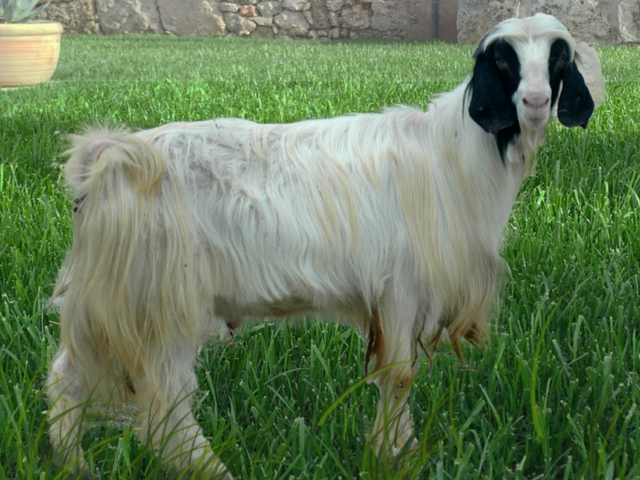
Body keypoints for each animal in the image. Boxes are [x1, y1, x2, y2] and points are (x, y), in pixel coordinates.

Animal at [46, 13, 595, 479]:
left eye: (558, 57)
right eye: (502, 59)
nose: (536, 103)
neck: (454, 155)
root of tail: (110, 156)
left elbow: (398, 376)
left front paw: (402, 450)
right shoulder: (400, 285)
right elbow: (398, 376)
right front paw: (391, 456)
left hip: (122, 299)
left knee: (68, 375)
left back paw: (76, 465)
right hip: (159, 300)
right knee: (164, 402)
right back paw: (208, 469)